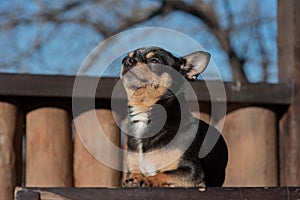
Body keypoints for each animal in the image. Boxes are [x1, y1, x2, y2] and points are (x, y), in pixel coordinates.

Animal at [119, 47, 227, 188]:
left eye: (154, 61)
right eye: (128, 57)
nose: (127, 60)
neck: (145, 113)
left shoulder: (192, 171)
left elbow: (162, 174)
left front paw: (147, 180)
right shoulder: (132, 167)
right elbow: (134, 172)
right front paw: (135, 178)